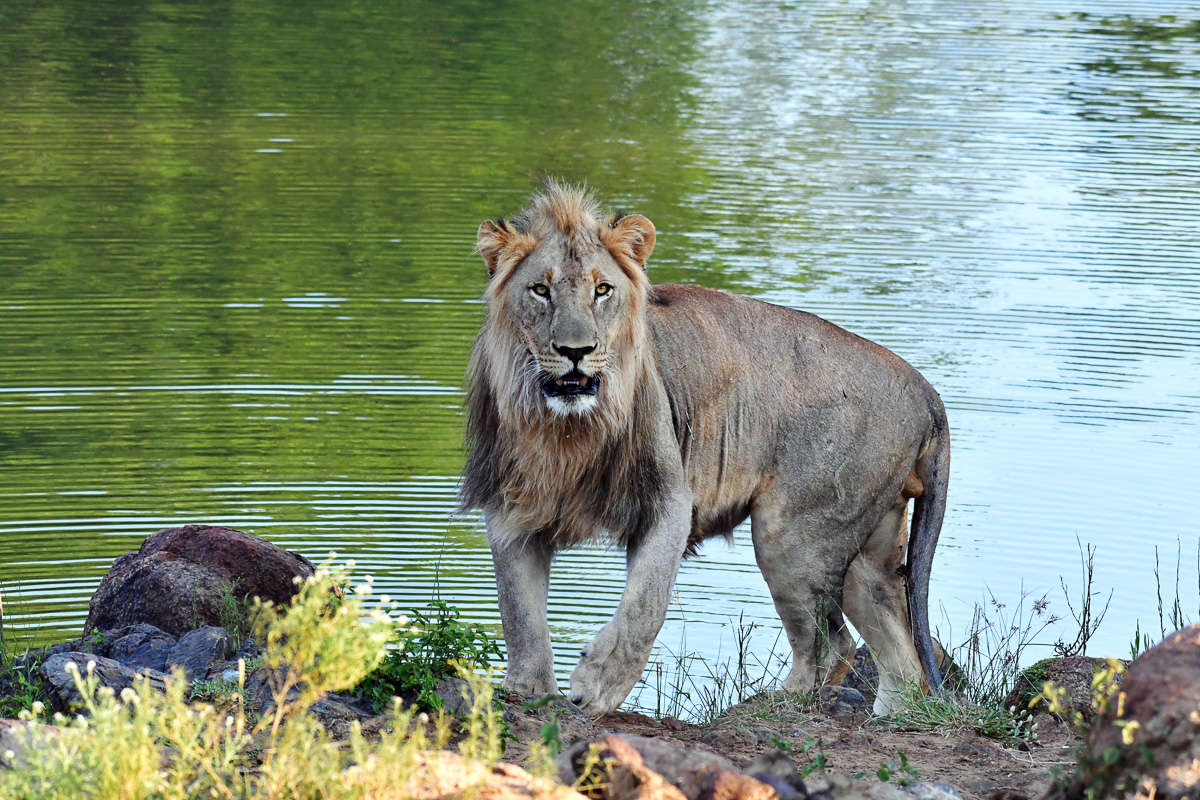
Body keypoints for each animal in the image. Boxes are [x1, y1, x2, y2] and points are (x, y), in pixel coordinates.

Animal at [460, 180, 948, 717]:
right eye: (540, 290)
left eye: (602, 290)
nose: (575, 352)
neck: (565, 431)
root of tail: (924, 387)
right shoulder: (512, 506)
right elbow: (519, 614)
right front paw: (527, 690)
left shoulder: (670, 501)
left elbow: (645, 605)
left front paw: (596, 686)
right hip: (869, 549)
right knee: (902, 658)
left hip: (793, 534)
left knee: (831, 646)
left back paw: (762, 706)